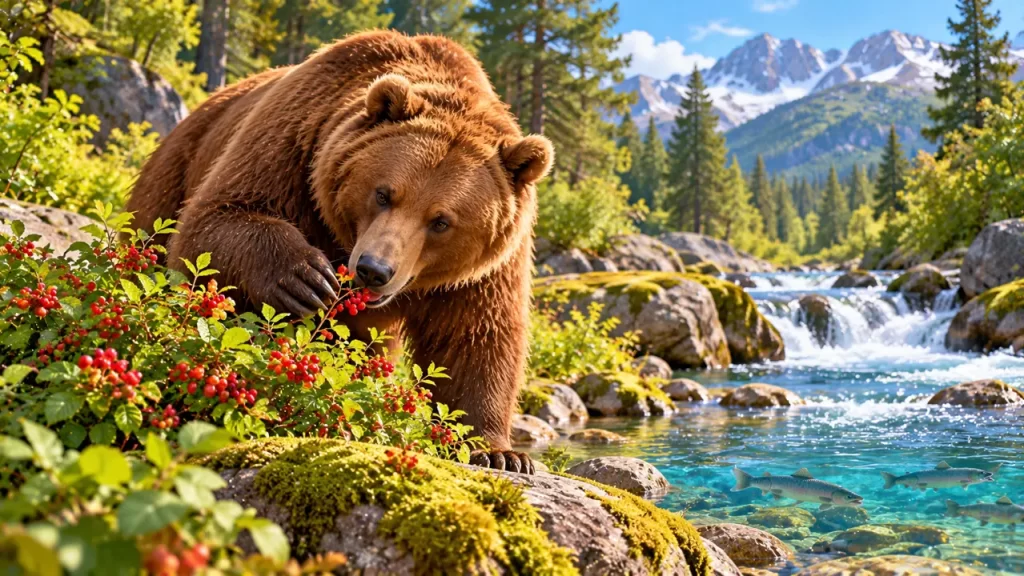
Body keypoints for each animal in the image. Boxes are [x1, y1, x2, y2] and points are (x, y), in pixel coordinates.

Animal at [125, 30, 553, 473]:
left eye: (441, 221)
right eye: (383, 193)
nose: (373, 269)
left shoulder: (486, 267)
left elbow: (477, 336)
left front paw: (499, 452)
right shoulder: (296, 145)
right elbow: (214, 220)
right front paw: (304, 277)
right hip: (179, 165)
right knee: (153, 235)